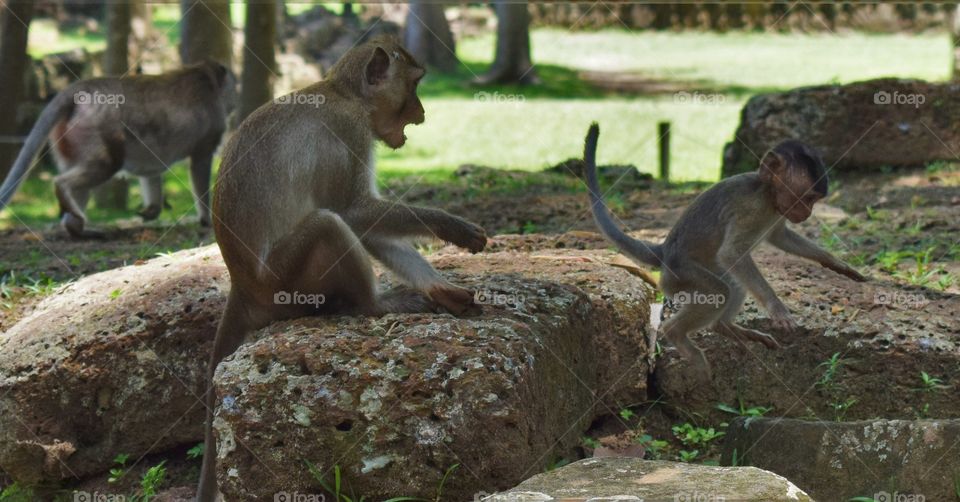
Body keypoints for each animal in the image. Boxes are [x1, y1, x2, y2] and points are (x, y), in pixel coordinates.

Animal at [0, 60, 236, 238]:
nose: (235, 98)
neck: (205, 76)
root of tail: (80, 88)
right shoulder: (210, 131)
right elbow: (199, 165)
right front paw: (206, 219)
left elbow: (151, 169)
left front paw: (152, 209)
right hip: (94, 128)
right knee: (104, 165)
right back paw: (65, 194)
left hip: (67, 139)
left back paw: (77, 227)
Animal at [197, 35, 487, 500]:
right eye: (415, 84)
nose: (422, 113)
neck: (344, 93)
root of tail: (240, 283)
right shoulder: (351, 133)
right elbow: (354, 212)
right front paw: (451, 225)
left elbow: (367, 227)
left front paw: (438, 287)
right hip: (284, 279)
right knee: (328, 223)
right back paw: (375, 305)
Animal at [583, 123, 866, 381]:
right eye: (806, 199)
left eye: (814, 201)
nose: (807, 213)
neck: (767, 193)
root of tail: (664, 251)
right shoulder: (753, 209)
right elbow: (732, 252)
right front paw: (777, 309)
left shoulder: (776, 212)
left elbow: (780, 237)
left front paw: (836, 263)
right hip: (679, 276)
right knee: (719, 289)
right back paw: (677, 334)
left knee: (733, 284)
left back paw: (727, 328)